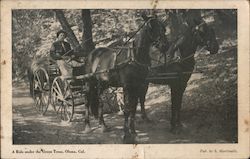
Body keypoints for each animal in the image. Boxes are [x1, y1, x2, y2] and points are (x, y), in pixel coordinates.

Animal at [83, 15, 166, 143]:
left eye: (163, 27)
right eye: (151, 27)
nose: (164, 46)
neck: (135, 56)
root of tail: (92, 53)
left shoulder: (138, 86)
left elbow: (133, 108)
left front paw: (134, 133)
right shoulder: (127, 87)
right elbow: (127, 109)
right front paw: (126, 134)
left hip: (102, 84)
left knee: (100, 102)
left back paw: (103, 125)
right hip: (89, 82)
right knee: (87, 101)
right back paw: (87, 126)